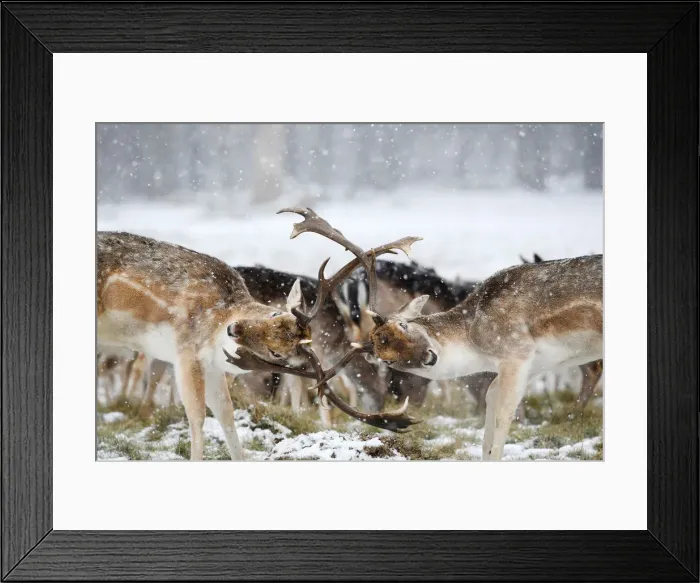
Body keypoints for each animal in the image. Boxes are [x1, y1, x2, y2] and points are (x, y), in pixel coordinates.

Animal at [272, 209, 602, 461]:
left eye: (403, 326)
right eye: (386, 358)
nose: (429, 356)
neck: (477, 344)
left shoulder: (517, 354)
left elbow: (500, 425)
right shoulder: (529, 366)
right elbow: (488, 430)